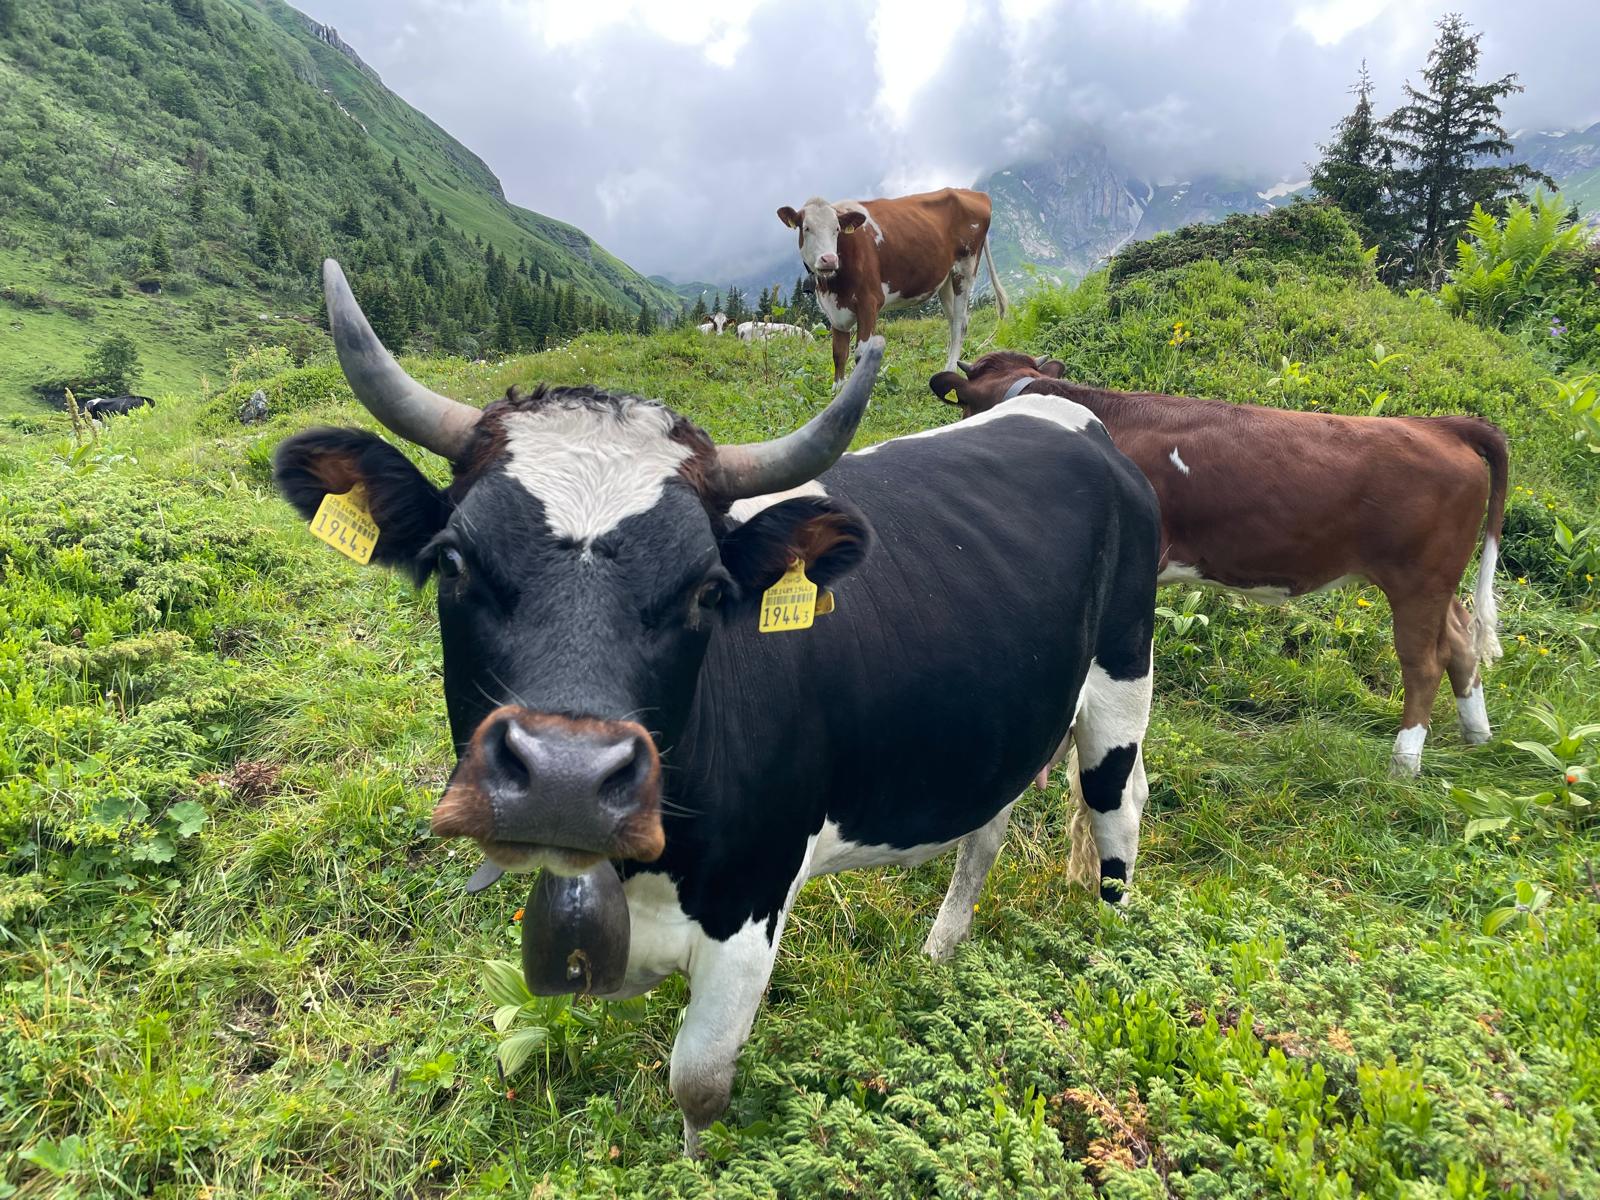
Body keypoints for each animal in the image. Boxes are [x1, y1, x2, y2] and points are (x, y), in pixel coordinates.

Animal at [273, 261, 1159, 1155]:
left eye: (706, 590)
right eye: (453, 561)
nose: (565, 780)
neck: (644, 875)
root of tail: (1069, 414)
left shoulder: (751, 910)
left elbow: (697, 1081)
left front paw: (697, 1165)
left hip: (1124, 674)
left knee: (1118, 806)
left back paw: (1115, 951)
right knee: (988, 828)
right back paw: (941, 949)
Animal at [777, 187, 1008, 384]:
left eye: (837, 229)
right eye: (806, 228)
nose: (829, 259)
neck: (833, 286)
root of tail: (974, 193)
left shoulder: (869, 301)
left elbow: (861, 353)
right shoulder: (835, 312)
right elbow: (838, 354)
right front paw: (838, 395)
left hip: (966, 268)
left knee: (960, 322)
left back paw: (950, 369)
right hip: (945, 279)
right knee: (956, 322)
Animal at [930, 351, 1509, 776]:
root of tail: (1443, 425)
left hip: (1418, 579)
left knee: (1424, 661)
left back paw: (1404, 763)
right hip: (1436, 581)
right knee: (1461, 638)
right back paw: (1477, 736)